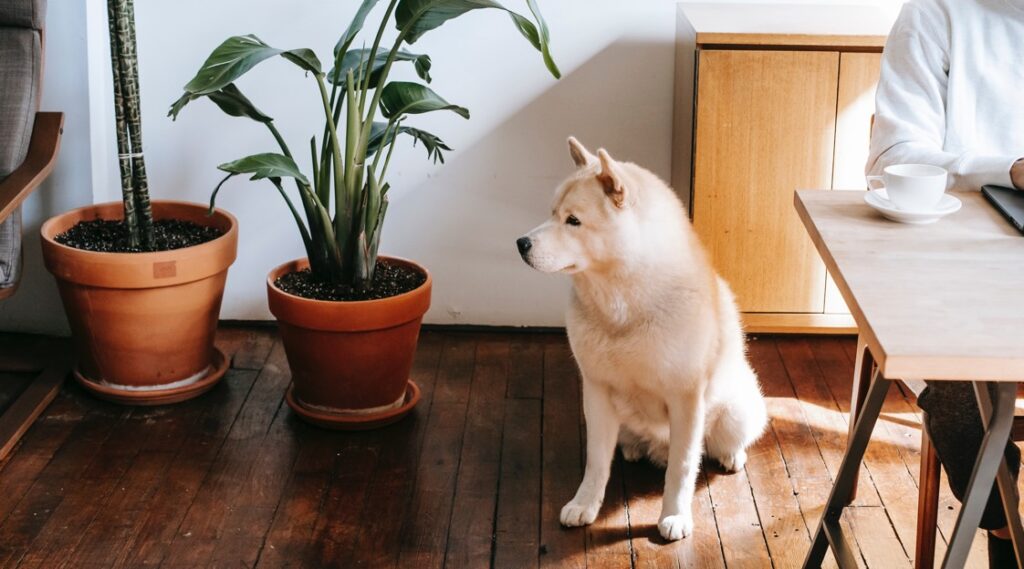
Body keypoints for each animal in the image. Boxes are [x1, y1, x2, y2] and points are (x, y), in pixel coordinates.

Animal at [520, 135, 770, 540]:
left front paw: (675, 515)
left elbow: (683, 466)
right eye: (552, 213)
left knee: (720, 442)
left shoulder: (687, 398)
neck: (624, 310)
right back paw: (636, 449)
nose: (521, 243)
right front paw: (585, 504)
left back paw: (731, 454)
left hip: (736, 411)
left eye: (574, 221)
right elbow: (596, 462)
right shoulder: (597, 390)